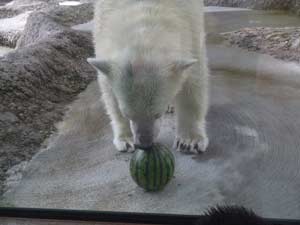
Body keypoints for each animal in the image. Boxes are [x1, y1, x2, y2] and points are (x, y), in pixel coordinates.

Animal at [87, 0, 209, 154]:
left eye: (157, 113)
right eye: (128, 114)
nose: (144, 144)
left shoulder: (191, 27)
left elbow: (193, 83)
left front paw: (190, 142)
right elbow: (109, 93)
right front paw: (125, 140)